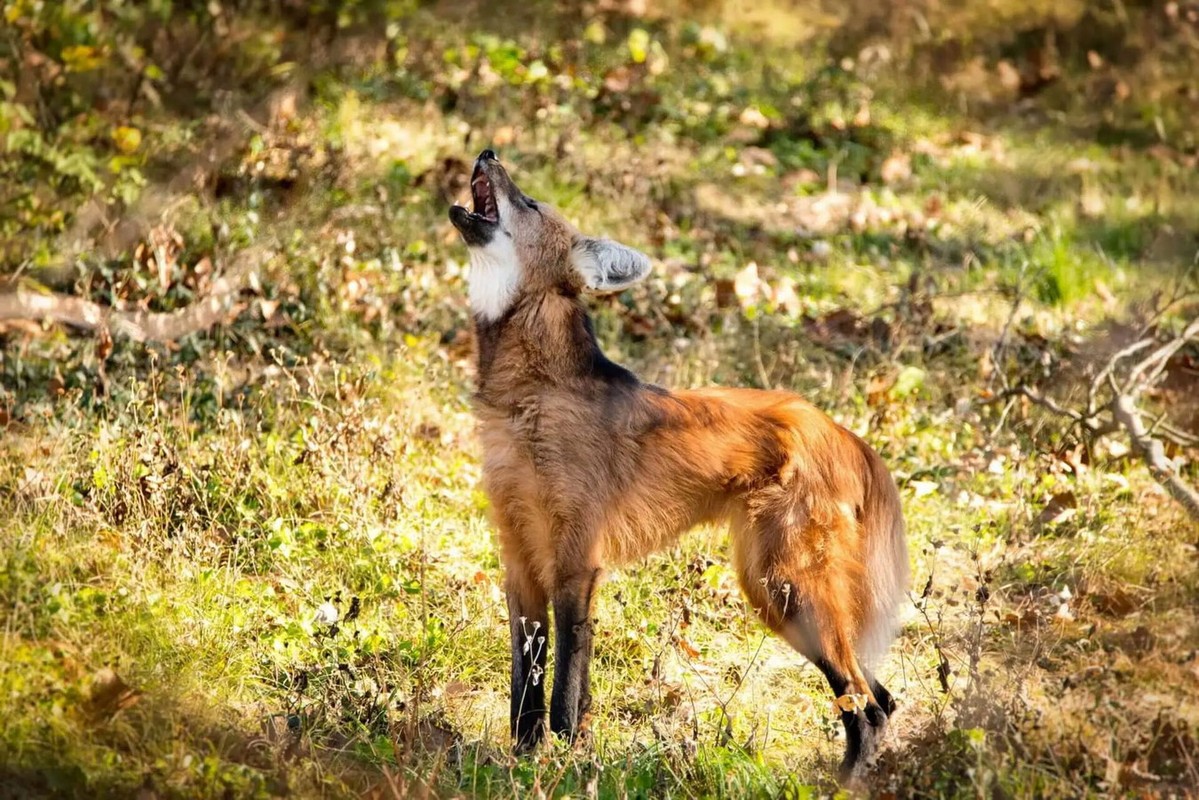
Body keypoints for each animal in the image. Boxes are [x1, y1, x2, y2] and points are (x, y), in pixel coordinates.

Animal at [450, 148, 906, 777]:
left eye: (531, 203)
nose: (488, 152)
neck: (527, 396)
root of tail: (841, 431)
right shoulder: (520, 559)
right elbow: (527, 683)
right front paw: (520, 760)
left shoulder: (575, 561)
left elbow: (566, 683)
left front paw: (562, 764)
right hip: (782, 593)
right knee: (881, 695)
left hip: (785, 587)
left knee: (867, 705)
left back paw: (842, 784)